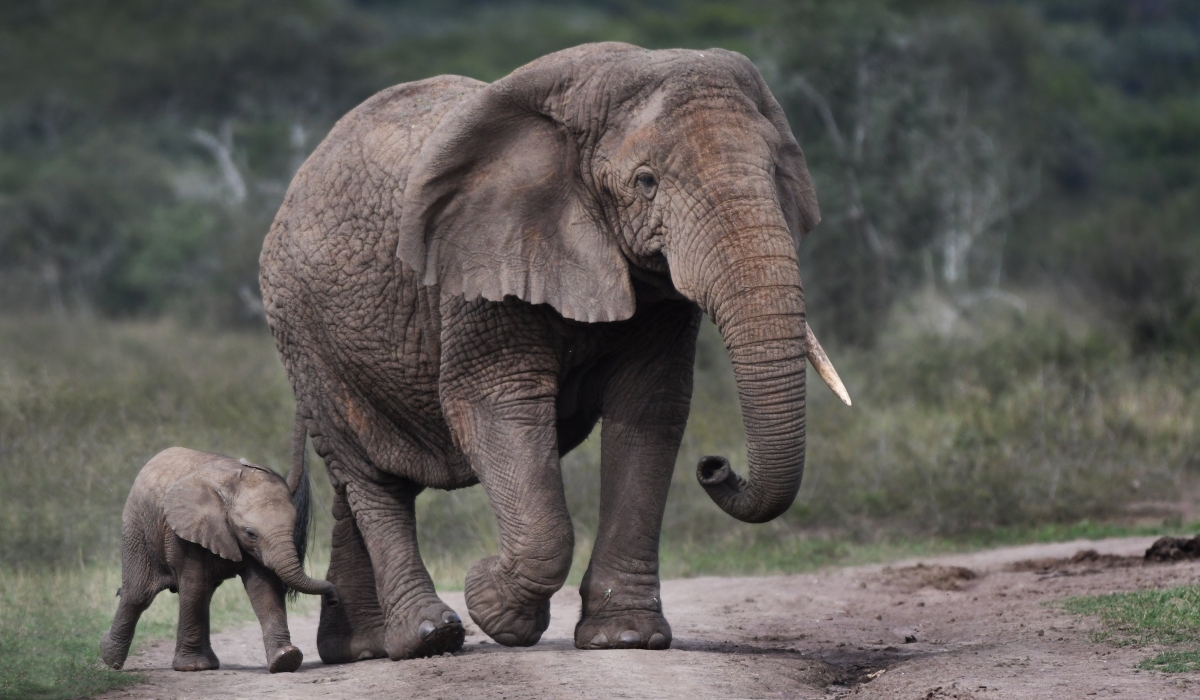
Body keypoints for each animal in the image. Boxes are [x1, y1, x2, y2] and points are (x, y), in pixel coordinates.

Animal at [100, 447, 339, 673]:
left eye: (294, 526)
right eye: (251, 533)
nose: (333, 599)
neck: (228, 488)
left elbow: (264, 589)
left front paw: (286, 659)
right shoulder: (184, 532)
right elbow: (194, 585)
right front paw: (191, 667)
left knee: (204, 594)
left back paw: (210, 663)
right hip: (137, 525)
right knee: (139, 593)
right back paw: (110, 660)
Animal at [259, 41, 849, 663]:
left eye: (776, 172)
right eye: (645, 181)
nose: (716, 466)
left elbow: (651, 408)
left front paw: (625, 638)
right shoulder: (483, 267)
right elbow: (497, 404)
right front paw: (494, 605)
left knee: (360, 478)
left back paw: (360, 649)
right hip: (303, 329)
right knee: (370, 474)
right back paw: (428, 636)